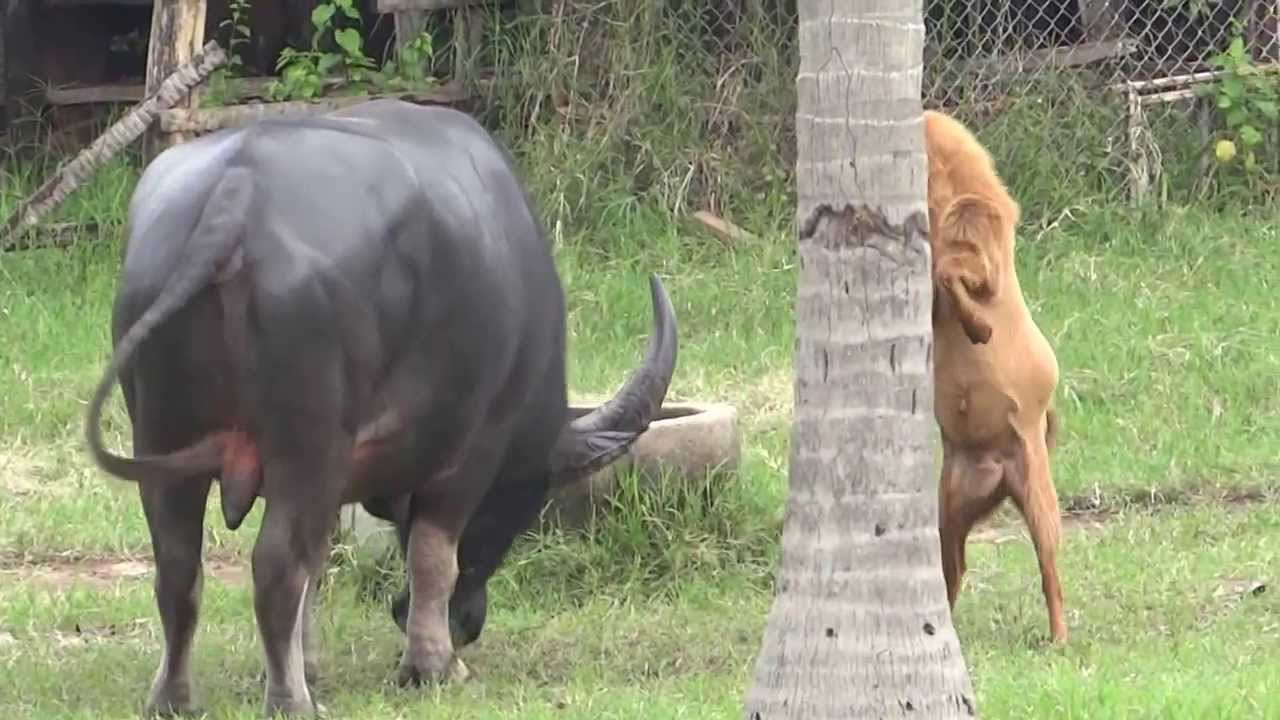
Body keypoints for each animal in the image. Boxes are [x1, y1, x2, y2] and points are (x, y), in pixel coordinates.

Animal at [84, 98, 678, 717]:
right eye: (524, 503)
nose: (470, 624)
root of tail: (233, 200)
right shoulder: (471, 452)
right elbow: (432, 556)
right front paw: (434, 665)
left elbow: (322, 562)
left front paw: (318, 662)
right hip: (306, 446)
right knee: (275, 568)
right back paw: (292, 700)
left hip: (162, 432)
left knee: (181, 568)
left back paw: (176, 697)